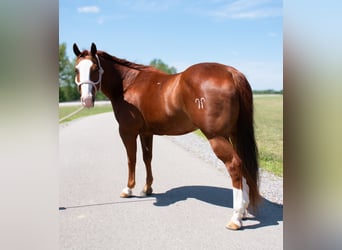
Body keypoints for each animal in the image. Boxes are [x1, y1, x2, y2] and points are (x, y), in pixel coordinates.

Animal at [72, 43, 260, 230]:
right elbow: (147, 158)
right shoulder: (146, 132)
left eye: (95, 68)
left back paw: (235, 218)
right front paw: (147, 188)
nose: (86, 100)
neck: (128, 84)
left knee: (234, 165)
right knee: (243, 164)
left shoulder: (127, 132)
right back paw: (243, 211)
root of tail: (230, 72)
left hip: (217, 137)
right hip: (234, 134)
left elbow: (131, 159)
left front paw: (128, 189)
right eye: (76, 69)